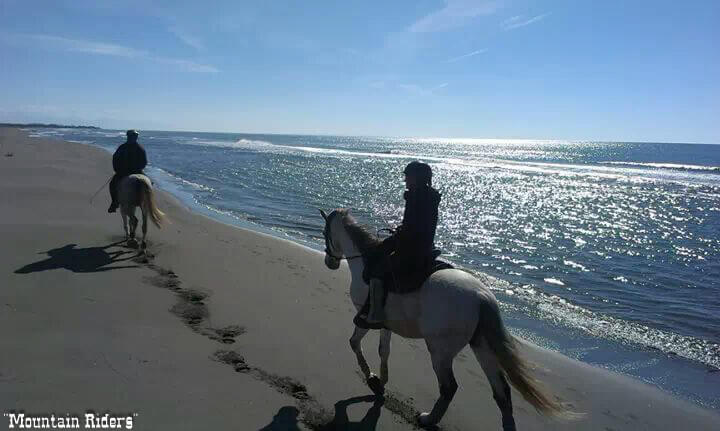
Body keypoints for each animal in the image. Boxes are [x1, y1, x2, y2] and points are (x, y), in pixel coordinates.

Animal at [320, 208, 572, 430]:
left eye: (325, 233)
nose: (330, 263)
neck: (366, 261)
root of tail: (481, 297)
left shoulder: (364, 318)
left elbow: (354, 343)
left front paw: (371, 378)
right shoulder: (385, 324)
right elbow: (384, 351)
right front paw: (381, 382)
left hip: (440, 351)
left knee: (449, 387)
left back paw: (428, 419)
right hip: (482, 347)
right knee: (501, 392)